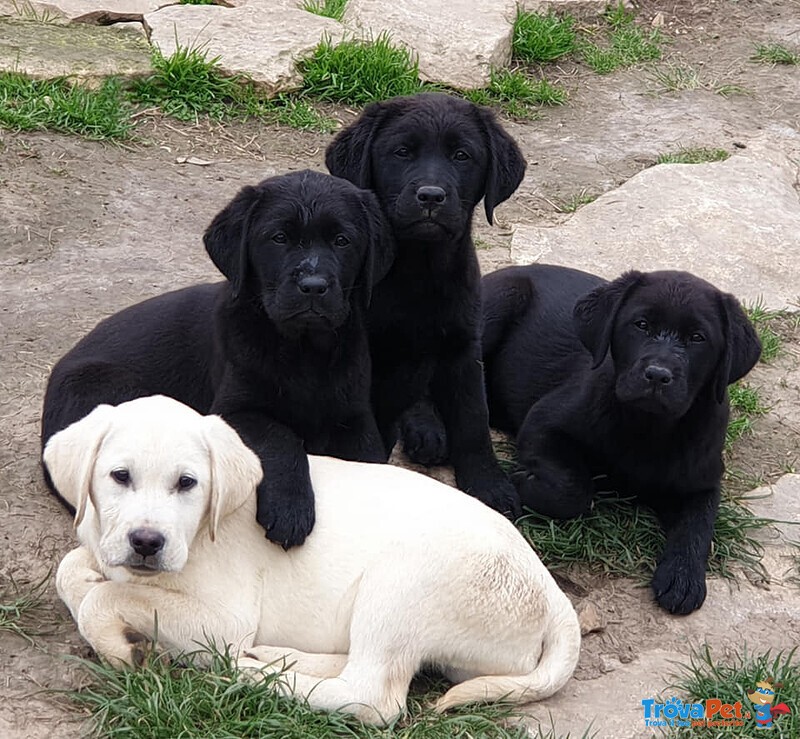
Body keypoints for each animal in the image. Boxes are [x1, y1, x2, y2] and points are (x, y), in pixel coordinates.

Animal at [42, 169, 392, 548]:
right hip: (113, 386)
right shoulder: (235, 410)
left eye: (343, 240)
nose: (313, 286)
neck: (304, 349)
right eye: (279, 238)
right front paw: (290, 509)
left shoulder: (354, 413)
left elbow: (371, 456)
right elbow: (279, 436)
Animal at [50, 396, 580, 724]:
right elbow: (72, 571)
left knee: (371, 696)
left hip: (404, 580)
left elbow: (105, 597)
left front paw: (119, 646)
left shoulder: (224, 619)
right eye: (119, 476)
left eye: (187, 483)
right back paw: (276, 659)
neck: (200, 533)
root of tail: (554, 598)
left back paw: (251, 675)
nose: (146, 542)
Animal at [324, 92, 524, 516]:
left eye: (462, 156)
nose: (431, 196)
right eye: (402, 152)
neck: (419, 269)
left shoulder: (463, 347)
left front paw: (489, 485)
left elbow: (473, 419)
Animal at [478, 264, 760, 612]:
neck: (648, 426)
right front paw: (523, 480)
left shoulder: (703, 480)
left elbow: (699, 523)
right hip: (501, 300)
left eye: (697, 338)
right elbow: (572, 491)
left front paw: (683, 576)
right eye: (641, 325)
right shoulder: (542, 421)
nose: (657, 375)